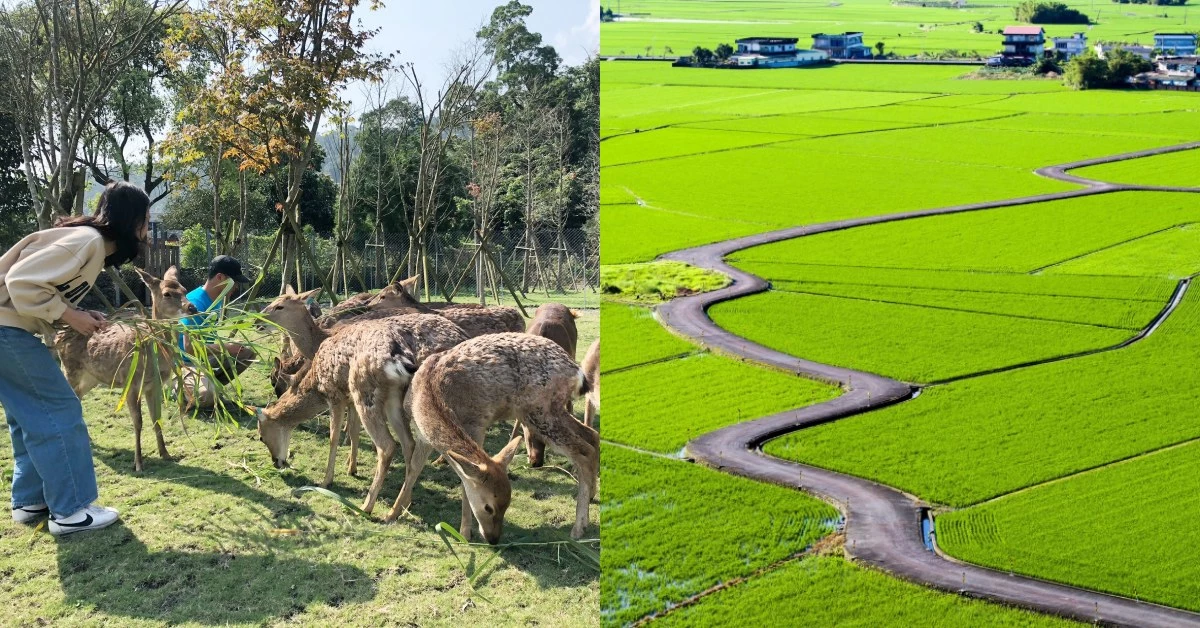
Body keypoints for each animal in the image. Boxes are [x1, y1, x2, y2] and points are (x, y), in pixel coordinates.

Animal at [55, 266, 198, 472]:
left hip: (92, 377)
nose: (192, 308)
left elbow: (156, 418)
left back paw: (88, 438)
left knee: (79, 396)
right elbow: (138, 422)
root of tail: (58, 336)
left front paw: (166, 454)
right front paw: (138, 463)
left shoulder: (155, 385)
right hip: (69, 369)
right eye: (167, 293)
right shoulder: (131, 383)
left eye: (184, 289)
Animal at [398, 333, 598, 543]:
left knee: (583, 450)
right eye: (489, 508)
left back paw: (579, 527)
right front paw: (393, 513)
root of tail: (577, 372)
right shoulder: (422, 435)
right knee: (592, 436)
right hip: (549, 411)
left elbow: (464, 480)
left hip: (538, 412)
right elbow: (413, 468)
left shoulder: (476, 425)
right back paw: (592, 495)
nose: (493, 539)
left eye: (504, 505)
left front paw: (464, 533)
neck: (428, 394)